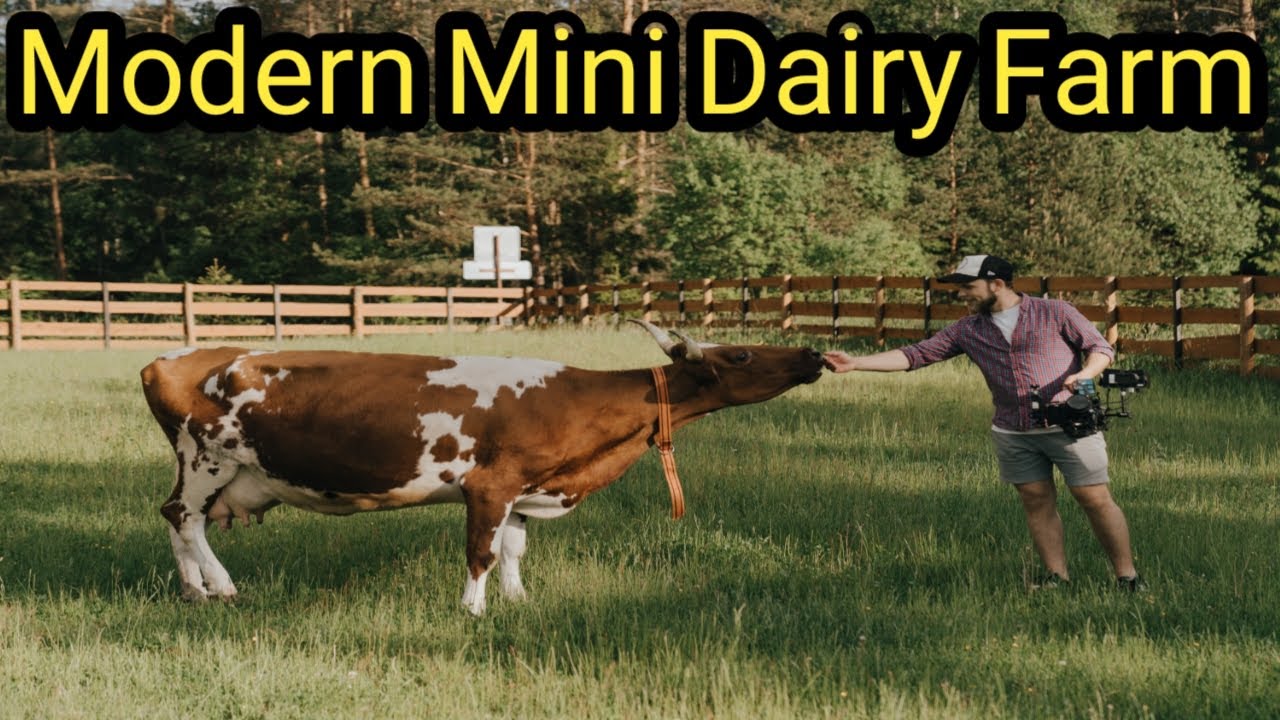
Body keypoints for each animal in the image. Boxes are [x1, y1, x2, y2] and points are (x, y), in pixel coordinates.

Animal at [140, 321, 825, 614]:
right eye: (742, 354)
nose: (814, 354)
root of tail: (175, 356)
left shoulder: (525, 490)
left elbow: (515, 549)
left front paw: (519, 600)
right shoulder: (490, 487)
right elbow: (482, 552)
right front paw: (474, 611)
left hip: (209, 469)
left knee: (172, 521)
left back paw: (193, 591)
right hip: (206, 458)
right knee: (185, 518)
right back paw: (223, 585)